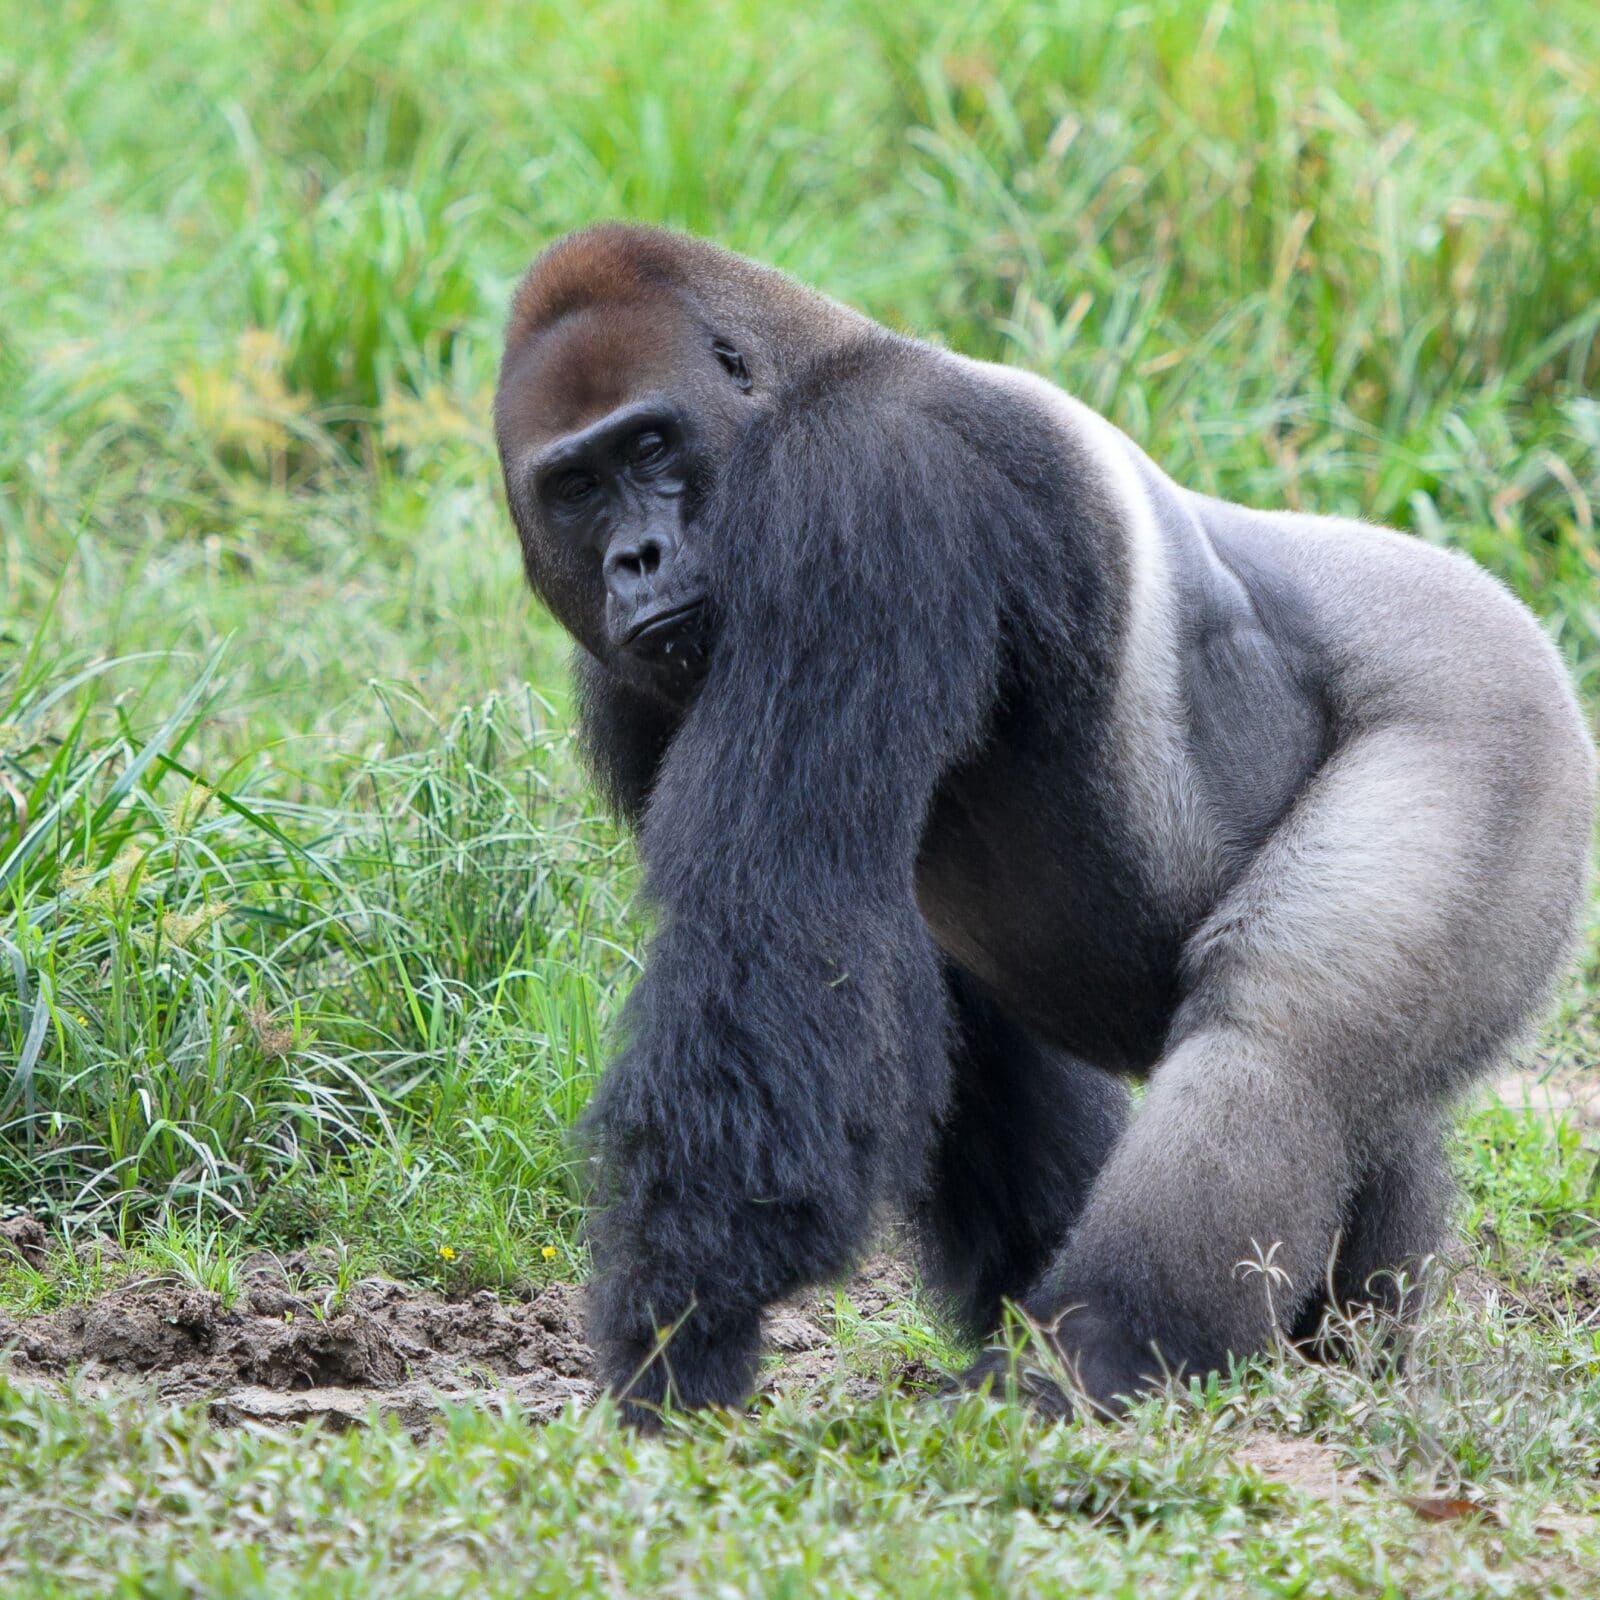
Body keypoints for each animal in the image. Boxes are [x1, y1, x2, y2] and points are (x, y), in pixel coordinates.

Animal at [492, 222, 1596, 1424]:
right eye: (576, 486)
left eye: (651, 446)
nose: (634, 559)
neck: (808, 365)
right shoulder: (632, 686)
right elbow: (930, 1003)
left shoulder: (869, 475)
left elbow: (783, 920)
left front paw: (680, 1326)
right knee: (1365, 1102)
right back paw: (1334, 1345)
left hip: (1491, 710)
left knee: (1282, 1036)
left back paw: (1101, 1346)